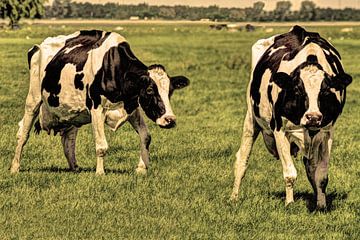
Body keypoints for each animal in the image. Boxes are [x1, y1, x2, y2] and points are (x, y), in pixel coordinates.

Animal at [9, 30, 190, 174]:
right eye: (150, 90)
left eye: (170, 91)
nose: (170, 120)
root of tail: (38, 45)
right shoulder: (96, 108)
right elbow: (101, 146)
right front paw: (100, 173)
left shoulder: (131, 106)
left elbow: (146, 137)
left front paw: (141, 168)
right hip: (33, 99)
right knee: (23, 134)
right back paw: (15, 167)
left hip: (72, 112)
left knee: (68, 139)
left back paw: (75, 167)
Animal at [231, 25, 352, 210]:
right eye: (297, 90)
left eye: (325, 91)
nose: (313, 117)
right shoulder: (279, 129)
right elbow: (289, 173)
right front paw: (289, 203)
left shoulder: (327, 131)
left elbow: (321, 175)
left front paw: (321, 205)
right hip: (251, 118)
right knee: (242, 159)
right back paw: (234, 197)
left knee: (311, 167)